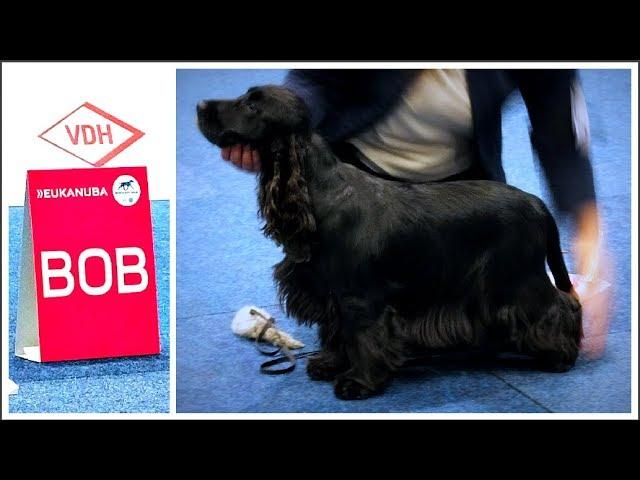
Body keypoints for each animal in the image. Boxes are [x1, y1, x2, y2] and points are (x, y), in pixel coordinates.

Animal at [198, 84, 584, 400]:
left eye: (252, 105)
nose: (200, 104)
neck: (316, 192)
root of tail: (537, 203)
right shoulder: (330, 294)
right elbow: (334, 332)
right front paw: (329, 364)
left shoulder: (359, 297)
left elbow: (363, 337)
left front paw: (359, 383)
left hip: (515, 279)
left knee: (561, 305)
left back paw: (561, 356)